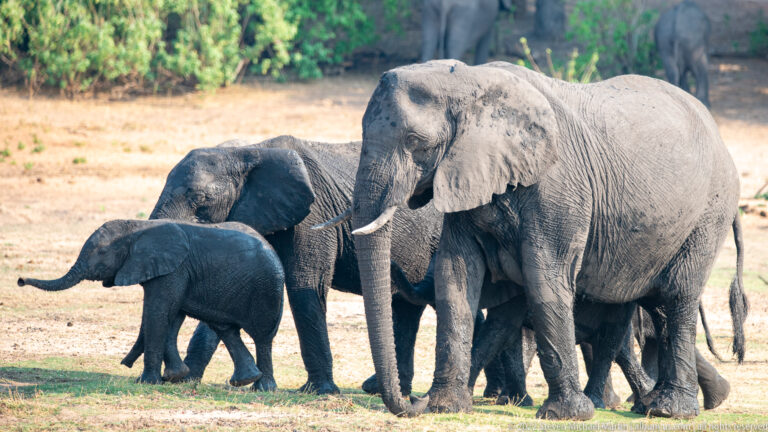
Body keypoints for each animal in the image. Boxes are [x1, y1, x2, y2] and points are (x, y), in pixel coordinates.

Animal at [18, 220, 284, 388]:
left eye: (101, 254)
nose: (20, 280)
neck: (137, 228)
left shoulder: (173, 269)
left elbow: (158, 313)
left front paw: (147, 383)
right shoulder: (173, 271)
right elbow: (169, 316)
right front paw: (174, 377)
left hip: (266, 289)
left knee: (262, 337)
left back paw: (262, 388)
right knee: (226, 329)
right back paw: (245, 381)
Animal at [333, 60, 747, 419]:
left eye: (416, 141)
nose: (412, 402)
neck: (468, 82)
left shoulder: (558, 188)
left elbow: (545, 277)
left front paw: (566, 415)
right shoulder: (468, 178)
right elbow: (457, 276)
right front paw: (446, 407)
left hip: (709, 212)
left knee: (676, 297)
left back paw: (668, 410)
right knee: (651, 305)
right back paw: (653, 405)